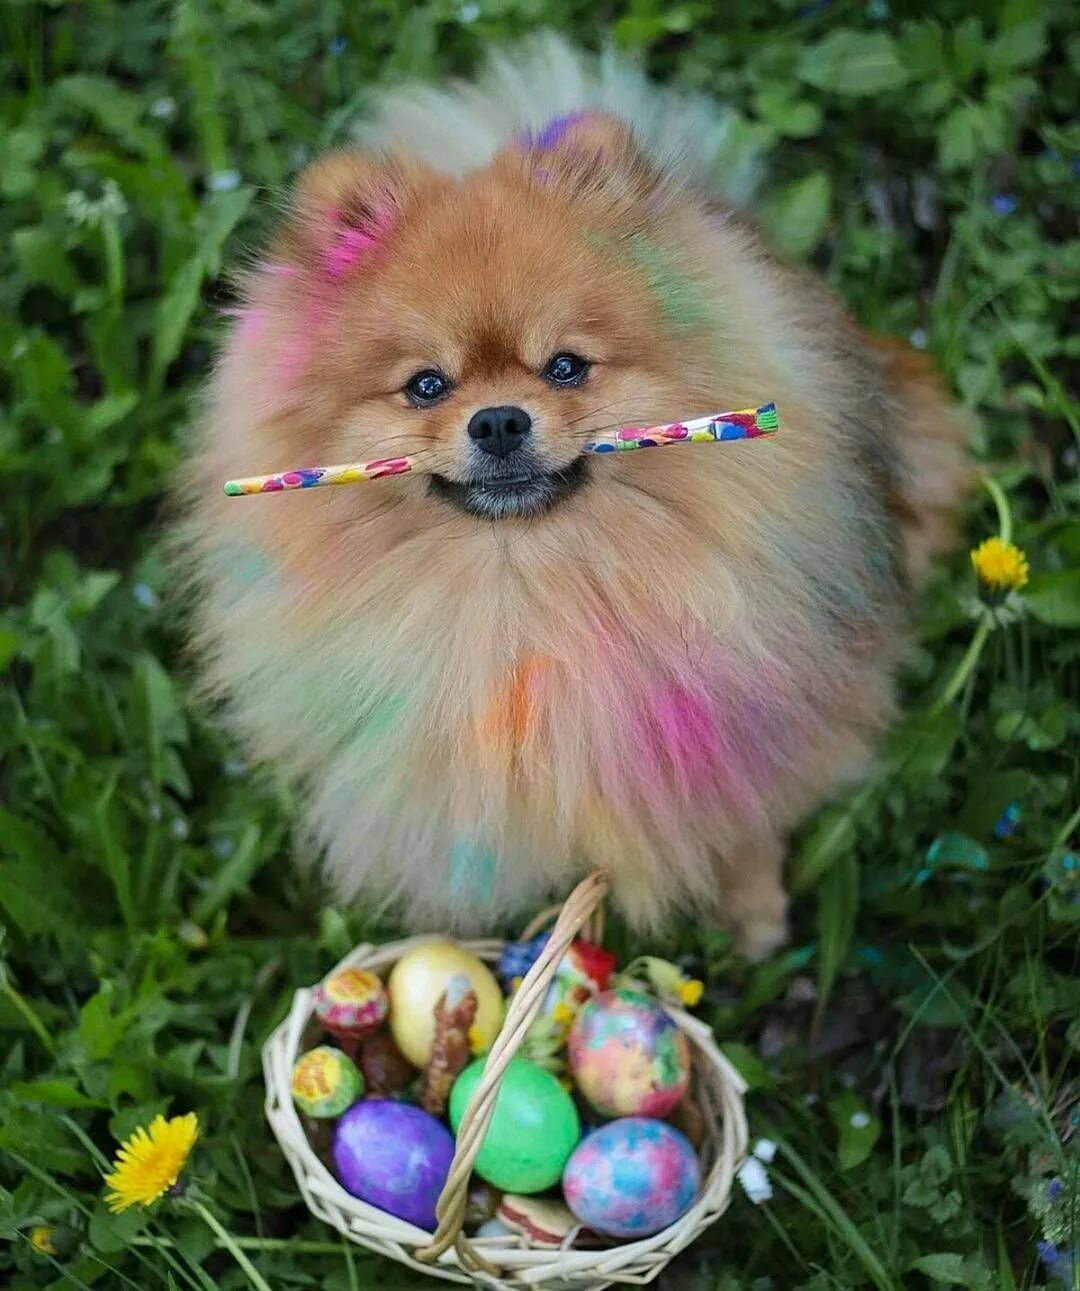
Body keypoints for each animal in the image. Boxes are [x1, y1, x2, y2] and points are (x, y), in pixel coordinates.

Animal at [179, 37, 970, 960]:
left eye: (565, 366)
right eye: (426, 385)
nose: (497, 420)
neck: (525, 587)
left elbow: (746, 812)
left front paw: (755, 914)